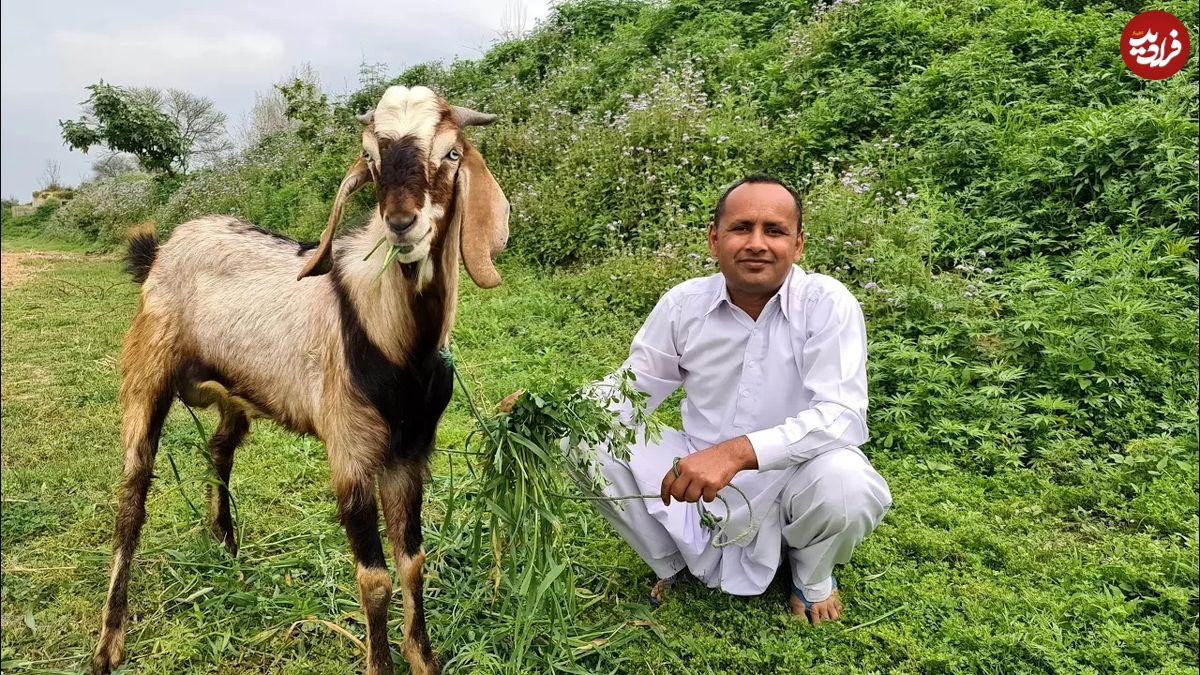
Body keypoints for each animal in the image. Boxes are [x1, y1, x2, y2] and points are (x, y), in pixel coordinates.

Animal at [91, 84, 508, 672]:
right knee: (132, 494)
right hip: (147, 372)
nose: (402, 223)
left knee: (219, 448)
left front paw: (424, 658)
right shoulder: (350, 450)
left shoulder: (409, 453)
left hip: (234, 391)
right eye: (371, 159)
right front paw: (380, 662)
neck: (398, 343)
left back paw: (228, 550)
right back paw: (109, 643)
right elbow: (374, 578)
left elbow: (413, 561)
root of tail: (164, 247)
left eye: (451, 152)